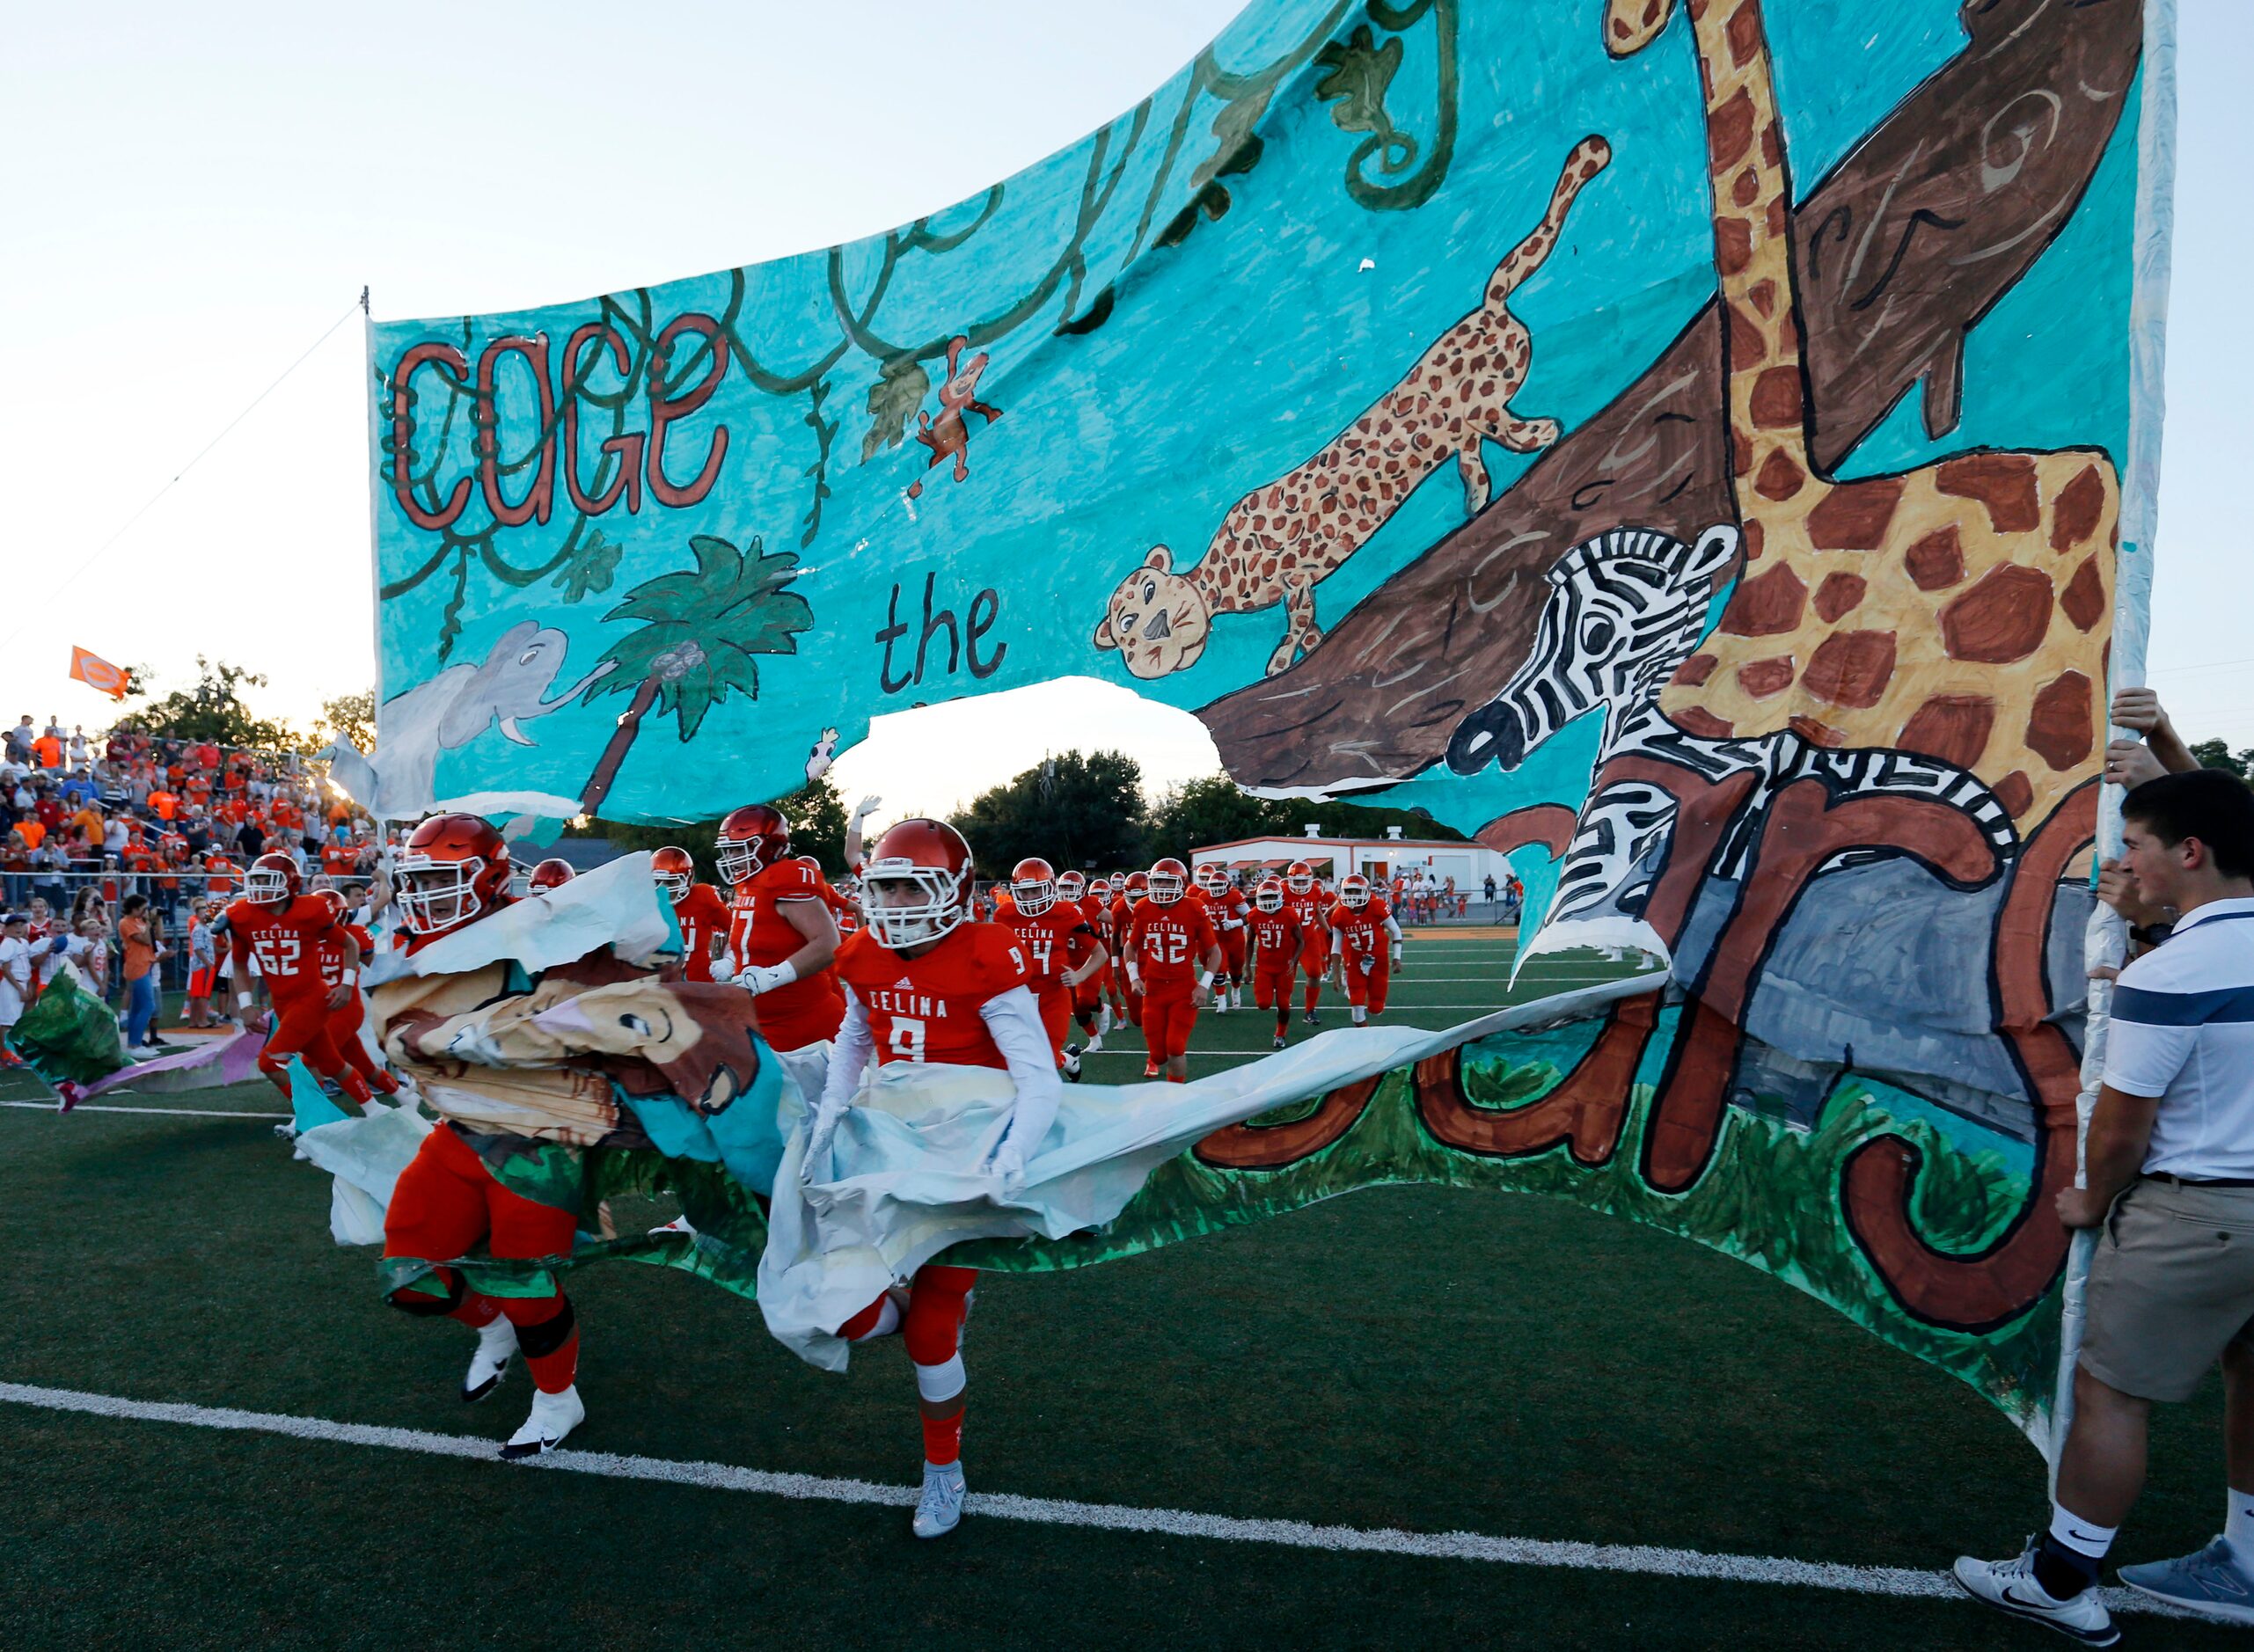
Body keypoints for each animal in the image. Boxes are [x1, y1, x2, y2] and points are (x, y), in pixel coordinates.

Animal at [1095, 135, 1614, 676]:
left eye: (1149, 592)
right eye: (1126, 627)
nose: (1155, 629)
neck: (1219, 581)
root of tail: (1490, 309)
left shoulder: (1295, 575)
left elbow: (1297, 619)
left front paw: (1281, 658)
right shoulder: (1297, 584)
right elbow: (1310, 626)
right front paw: (1308, 650)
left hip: (1480, 405)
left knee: (1518, 427)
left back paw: (1545, 447)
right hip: (1465, 432)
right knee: (1476, 459)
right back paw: (1477, 504)